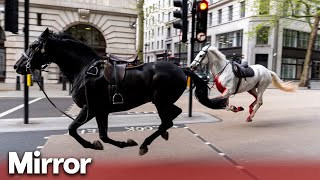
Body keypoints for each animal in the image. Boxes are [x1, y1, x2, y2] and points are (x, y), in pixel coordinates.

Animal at [13, 28, 226, 155]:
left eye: (33, 46)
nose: (17, 66)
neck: (84, 69)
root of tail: (181, 69)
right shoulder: (101, 111)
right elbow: (103, 136)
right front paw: (120, 143)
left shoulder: (90, 108)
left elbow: (73, 129)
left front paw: (93, 145)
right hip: (162, 101)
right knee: (173, 116)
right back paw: (160, 134)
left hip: (160, 100)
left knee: (168, 120)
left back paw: (145, 143)